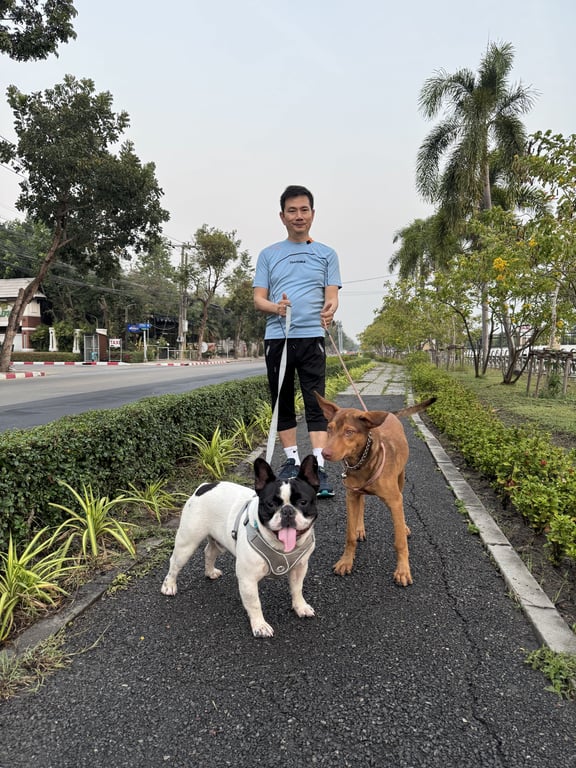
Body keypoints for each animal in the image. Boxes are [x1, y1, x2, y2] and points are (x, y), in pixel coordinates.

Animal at [161, 455, 320, 637]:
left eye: (303, 502)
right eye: (270, 504)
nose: (287, 511)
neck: (280, 546)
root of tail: (203, 486)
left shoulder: (300, 568)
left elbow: (297, 589)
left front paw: (300, 607)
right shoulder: (248, 579)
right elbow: (254, 603)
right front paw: (260, 625)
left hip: (218, 541)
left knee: (209, 552)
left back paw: (210, 572)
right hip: (187, 543)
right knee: (175, 564)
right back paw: (169, 586)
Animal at [315, 392, 436, 586]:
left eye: (349, 432)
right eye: (329, 429)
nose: (324, 453)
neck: (361, 462)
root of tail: (391, 414)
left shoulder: (394, 501)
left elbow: (400, 542)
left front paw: (403, 570)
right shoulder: (351, 495)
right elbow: (349, 536)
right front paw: (346, 561)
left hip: (401, 478)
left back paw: (404, 527)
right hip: (358, 492)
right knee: (362, 504)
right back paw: (360, 528)